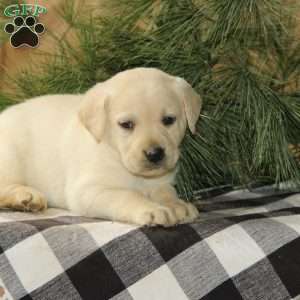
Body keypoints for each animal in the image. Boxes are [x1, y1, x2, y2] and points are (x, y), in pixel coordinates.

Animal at [0, 68, 202, 226]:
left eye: (168, 120)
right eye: (126, 124)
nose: (155, 154)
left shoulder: (162, 182)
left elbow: (166, 192)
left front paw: (177, 205)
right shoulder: (88, 191)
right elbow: (127, 195)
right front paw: (151, 208)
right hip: (10, 157)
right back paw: (25, 197)